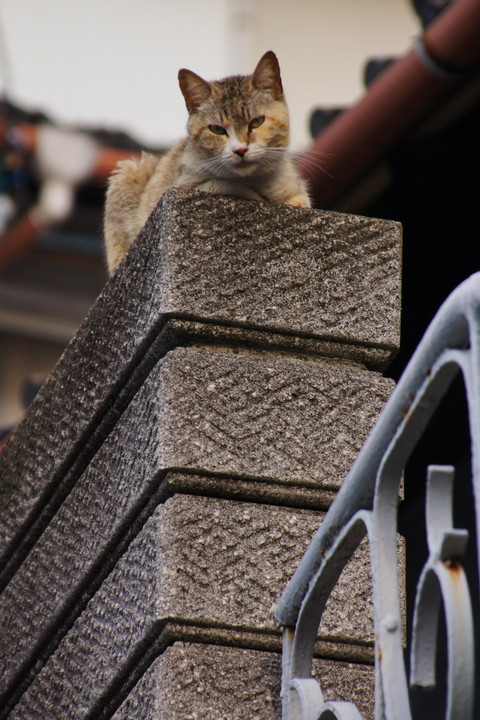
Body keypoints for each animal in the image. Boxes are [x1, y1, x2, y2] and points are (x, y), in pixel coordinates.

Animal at [103, 50, 310, 276]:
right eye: (216, 129)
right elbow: (225, 184)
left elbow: (299, 199)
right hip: (128, 173)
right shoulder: (182, 185)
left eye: (257, 122)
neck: (255, 180)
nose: (240, 150)